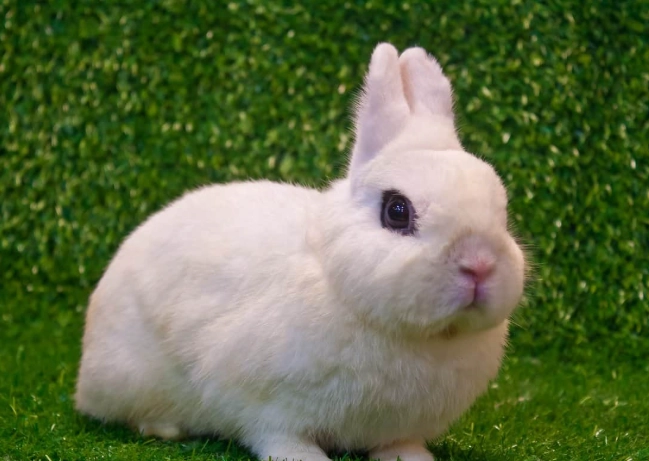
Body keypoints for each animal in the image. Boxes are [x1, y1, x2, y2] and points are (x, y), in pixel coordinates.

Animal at [75, 43, 526, 461]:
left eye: (501, 211)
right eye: (397, 211)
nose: (479, 264)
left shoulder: (397, 426)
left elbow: (399, 444)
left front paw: (414, 458)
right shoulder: (263, 403)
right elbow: (279, 435)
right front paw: (305, 458)